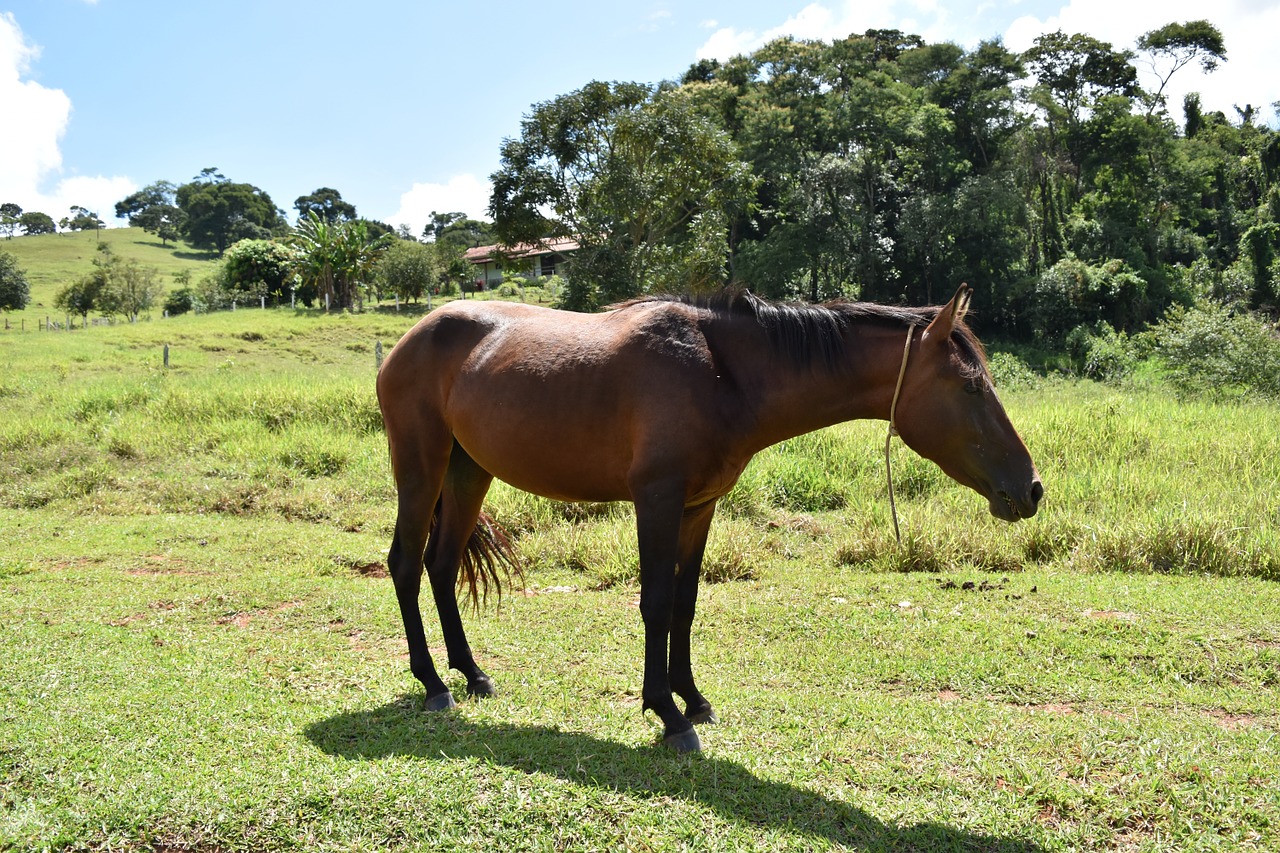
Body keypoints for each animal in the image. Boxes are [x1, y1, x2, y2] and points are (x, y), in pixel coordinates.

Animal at [376, 286, 1039, 753]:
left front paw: (691, 698)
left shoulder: (699, 507)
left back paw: (471, 674)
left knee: (441, 565)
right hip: (421, 466)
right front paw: (668, 716)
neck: (722, 373)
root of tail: (410, 339)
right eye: (971, 386)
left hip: (467, 472)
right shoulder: (658, 500)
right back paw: (433, 683)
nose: (1030, 490)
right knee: (406, 564)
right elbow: (655, 602)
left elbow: (685, 603)